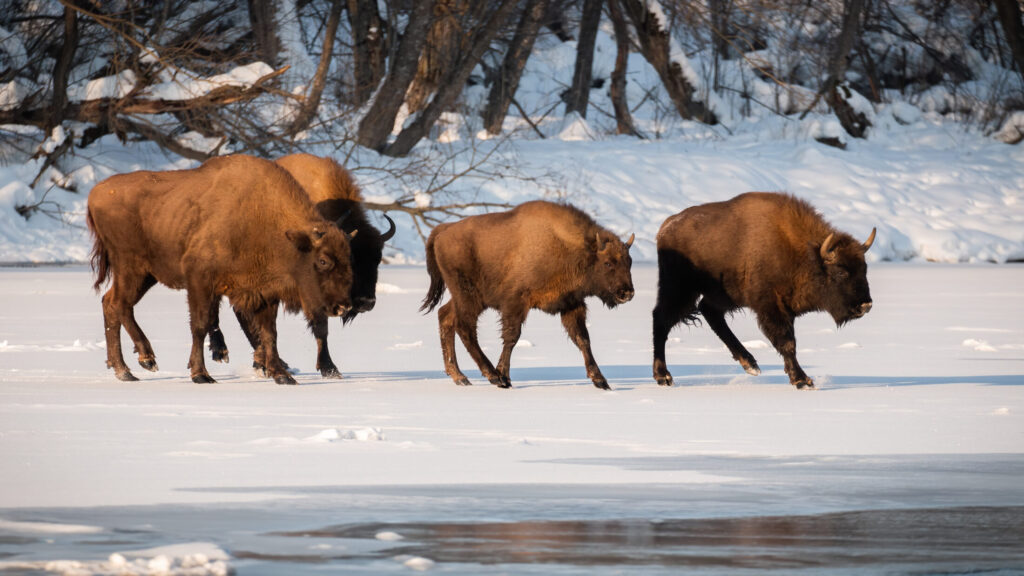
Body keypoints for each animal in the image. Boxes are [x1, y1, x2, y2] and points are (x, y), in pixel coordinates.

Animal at [84, 154, 356, 383]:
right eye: (323, 260)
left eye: (349, 258)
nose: (343, 307)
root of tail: (96, 193)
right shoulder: (200, 281)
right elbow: (201, 324)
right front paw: (200, 375)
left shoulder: (264, 293)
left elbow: (269, 333)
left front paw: (282, 375)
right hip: (132, 268)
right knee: (119, 304)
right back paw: (141, 361)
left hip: (145, 275)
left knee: (112, 304)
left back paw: (126, 369)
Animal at [205, 152, 397, 377]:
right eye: (353, 259)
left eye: (378, 259)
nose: (366, 301)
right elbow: (320, 325)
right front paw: (330, 368)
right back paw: (223, 352)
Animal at [417, 200, 630, 389]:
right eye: (608, 263)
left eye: (629, 262)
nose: (627, 293)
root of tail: (442, 231)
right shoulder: (516, 303)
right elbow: (512, 337)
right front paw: (504, 377)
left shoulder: (571, 303)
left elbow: (583, 339)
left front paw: (601, 381)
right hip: (468, 297)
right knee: (465, 328)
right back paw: (492, 376)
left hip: (465, 298)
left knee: (445, 316)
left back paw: (460, 377)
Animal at [651, 190, 876, 387]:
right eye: (841, 272)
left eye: (864, 269)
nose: (865, 305)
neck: (805, 254)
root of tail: (665, 227)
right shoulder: (771, 306)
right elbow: (787, 342)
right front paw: (802, 381)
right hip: (679, 290)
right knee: (661, 319)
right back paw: (664, 376)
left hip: (724, 294)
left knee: (710, 313)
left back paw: (750, 364)